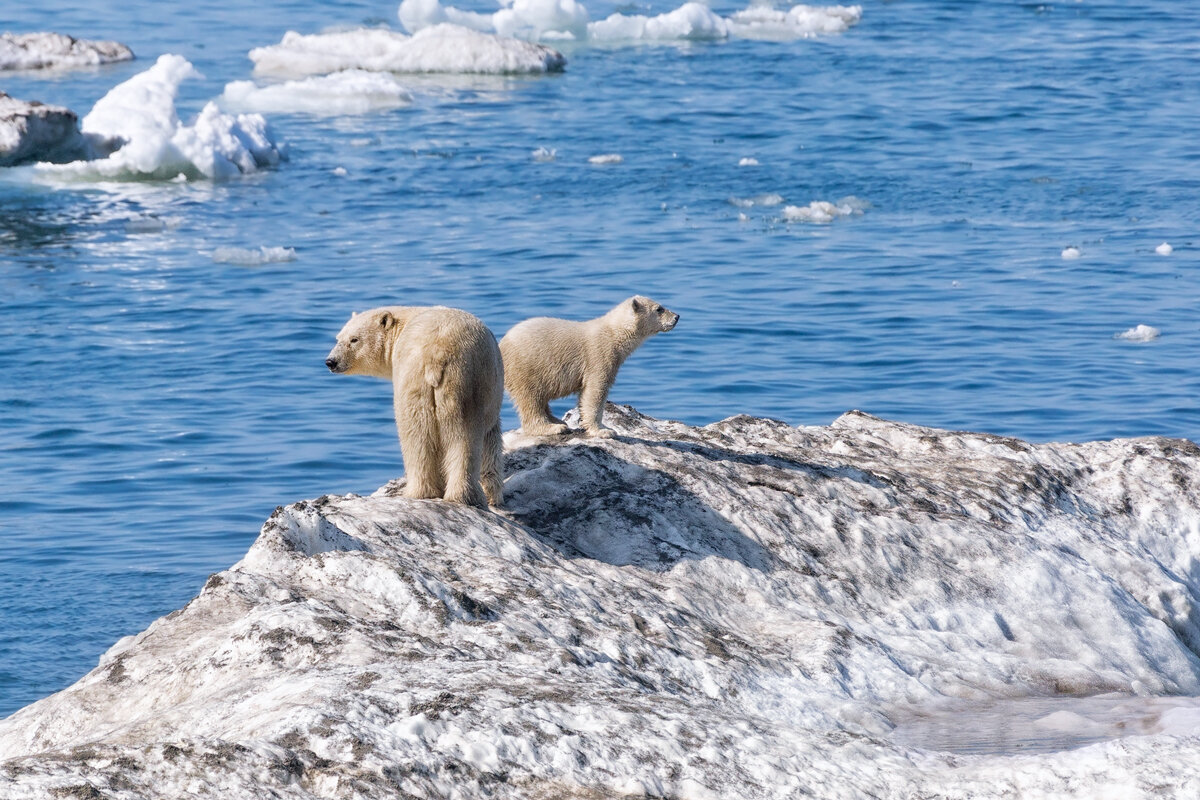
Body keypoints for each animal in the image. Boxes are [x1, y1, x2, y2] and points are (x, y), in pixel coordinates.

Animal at [324, 307, 501, 506]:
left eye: (354, 339)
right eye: (339, 338)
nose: (331, 361)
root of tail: (436, 353)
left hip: (446, 380)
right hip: (445, 382)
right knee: (444, 436)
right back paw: (446, 495)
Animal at [499, 296, 686, 438]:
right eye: (659, 309)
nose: (677, 316)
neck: (614, 333)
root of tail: (501, 344)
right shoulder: (599, 356)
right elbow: (595, 391)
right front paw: (604, 430)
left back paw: (557, 420)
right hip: (526, 367)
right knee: (531, 398)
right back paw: (552, 427)